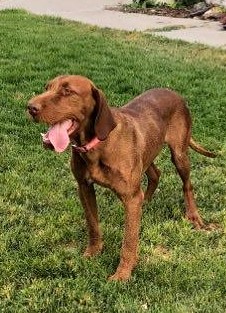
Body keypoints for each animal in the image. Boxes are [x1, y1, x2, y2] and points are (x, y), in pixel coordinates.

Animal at [27, 75, 216, 280]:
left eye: (67, 91)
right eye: (47, 88)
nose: (30, 107)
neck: (97, 144)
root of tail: (175, 93)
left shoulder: (130, 198)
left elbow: (129, 241)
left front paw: (122, 274)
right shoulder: (84, 187)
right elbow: (93, 225)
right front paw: (93, 252)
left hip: (179, 155)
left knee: (187, 184)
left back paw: (194, 216)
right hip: (147, 152)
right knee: (155, 174)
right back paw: (146, 201)